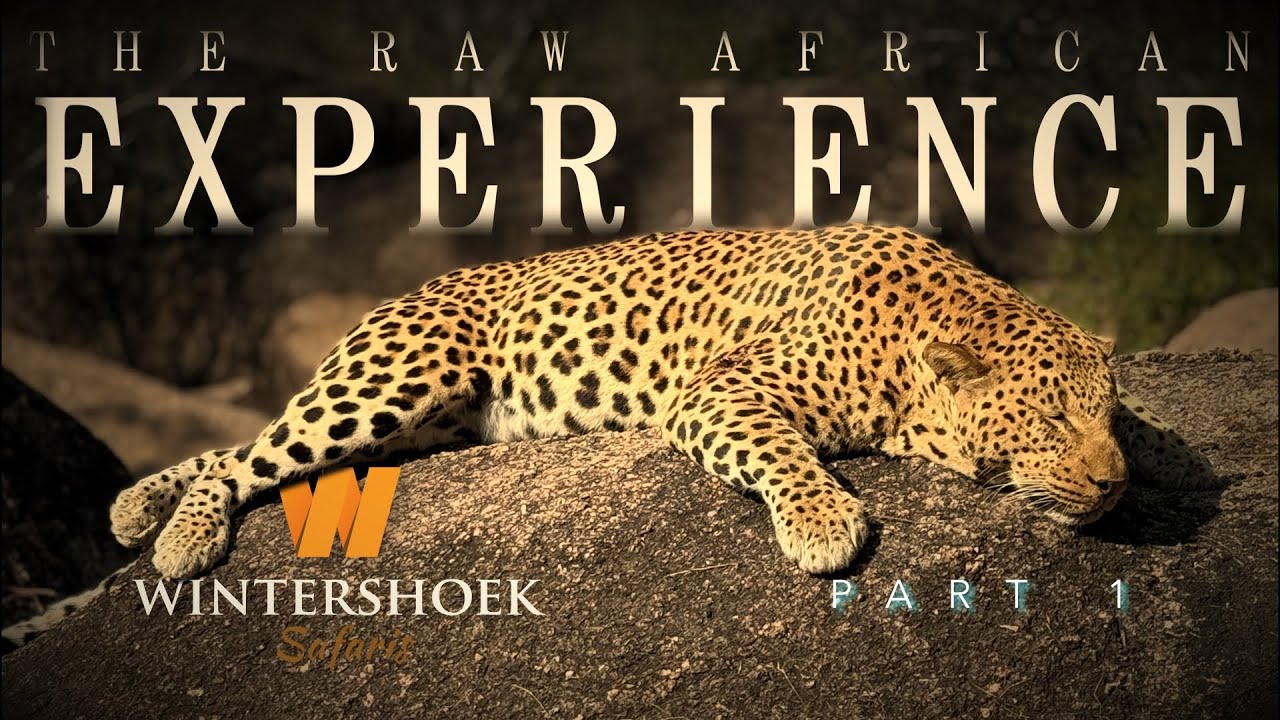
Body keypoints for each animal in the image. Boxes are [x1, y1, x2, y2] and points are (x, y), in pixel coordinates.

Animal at [105, 224, 1216, 581]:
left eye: (1106, 418)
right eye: (1048, 423)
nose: (1112, 489)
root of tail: (408, 291)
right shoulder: (721, 390)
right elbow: (782, 454)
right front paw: (825, 527)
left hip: (417, 423)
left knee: (244, 450)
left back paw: (134, 510)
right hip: (393, 379)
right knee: (244, 457)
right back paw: (175, 539)